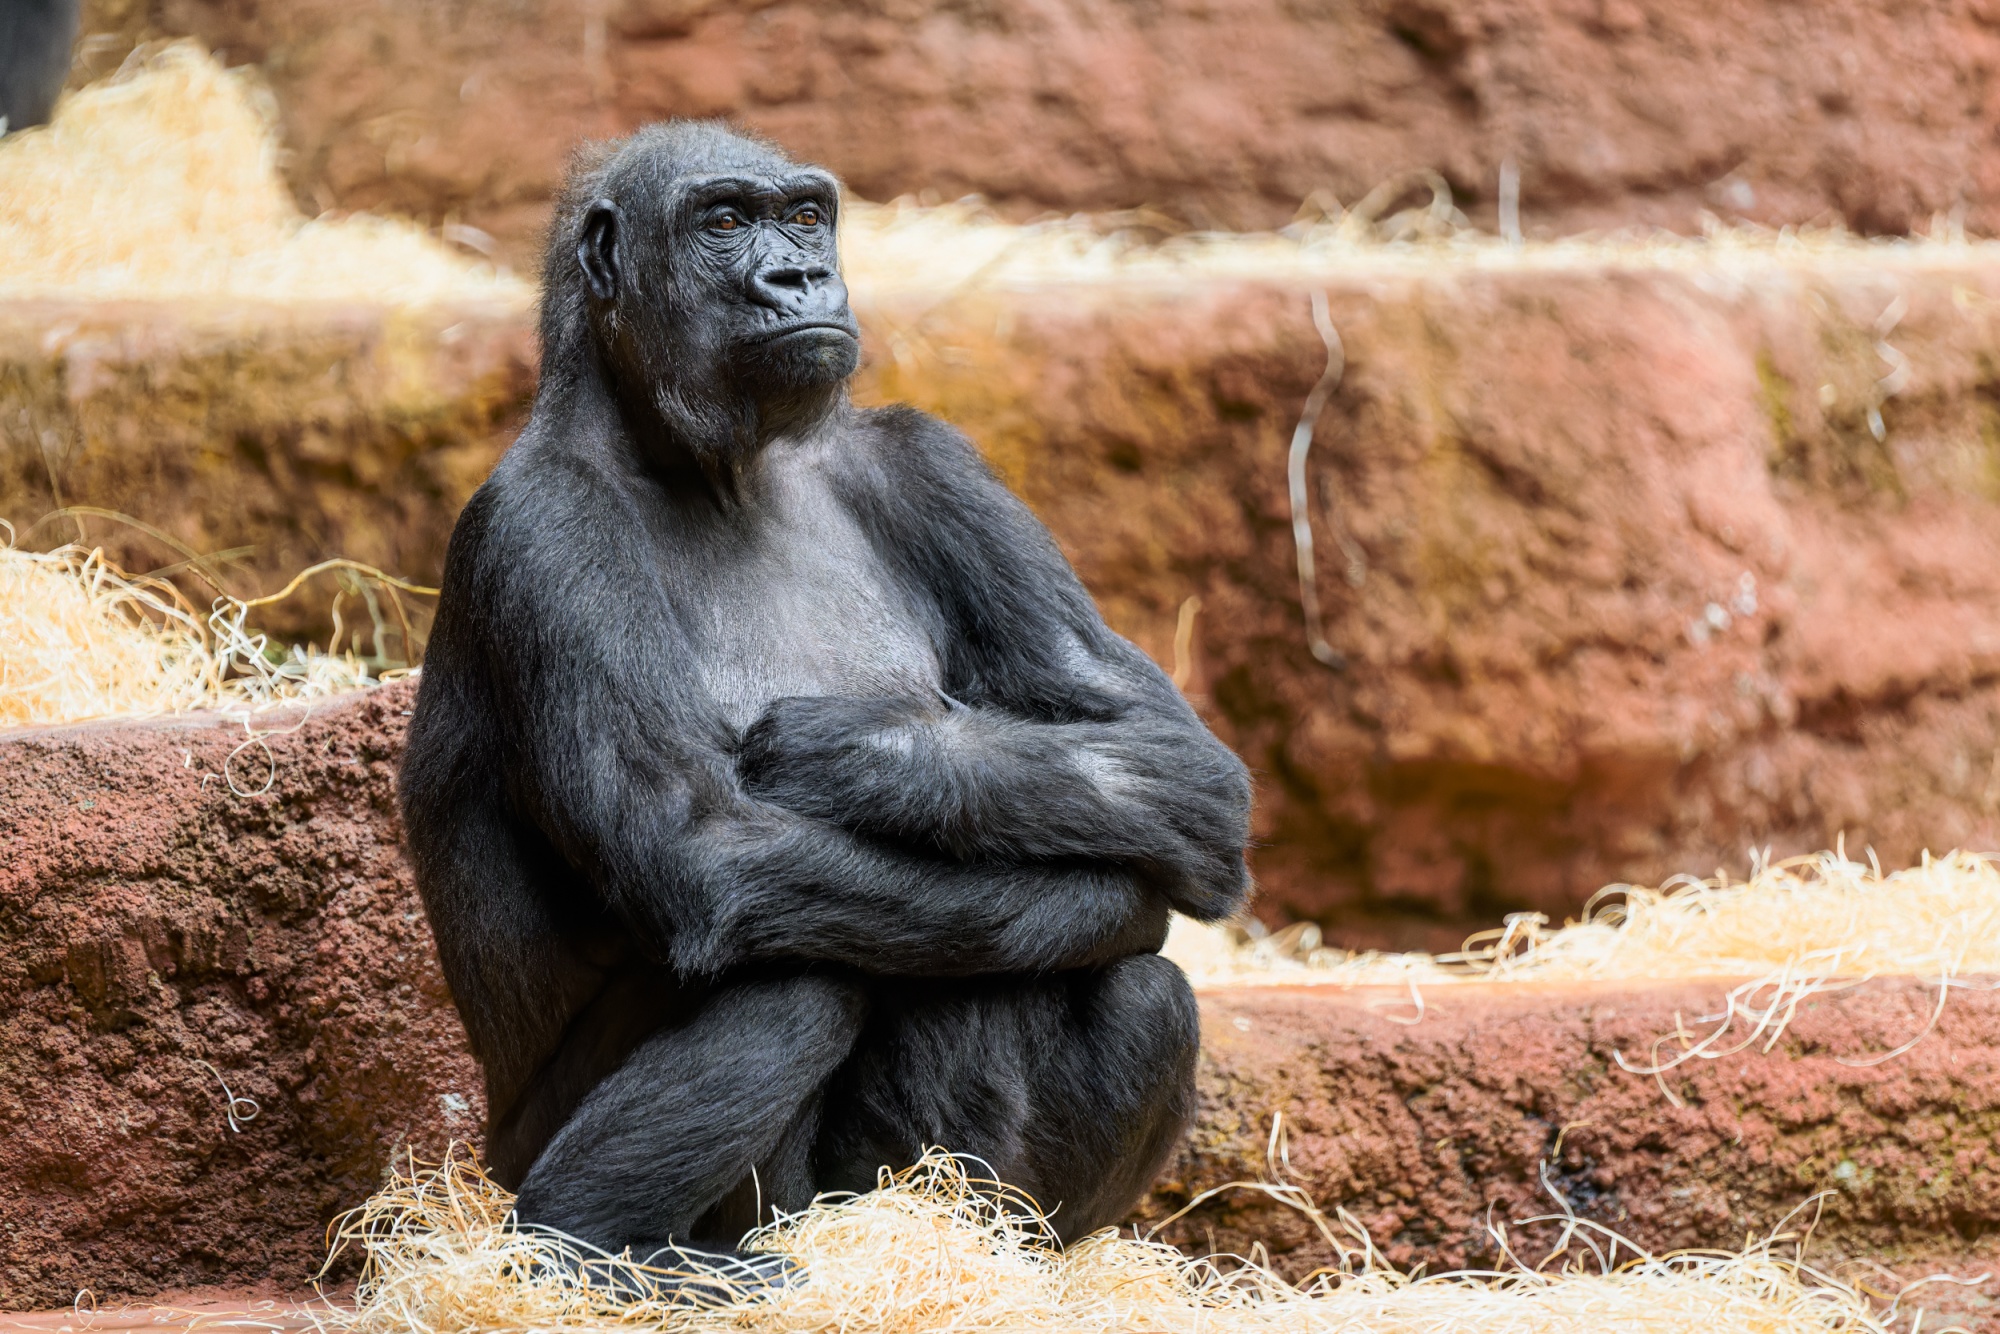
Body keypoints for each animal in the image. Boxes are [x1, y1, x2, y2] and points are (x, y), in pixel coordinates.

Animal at [400, 125, 1248, 1280]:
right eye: (722, 222)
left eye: (805, 218)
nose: (798, 278)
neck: (710, 464)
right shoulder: (541, 529)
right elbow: (702, 845)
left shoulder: (931, 460)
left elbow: (1163, 752)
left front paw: (866, 753)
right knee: (790, 979)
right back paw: (598, 1248)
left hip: (929, 1193)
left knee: (1139, 992)